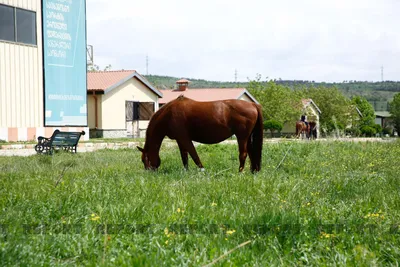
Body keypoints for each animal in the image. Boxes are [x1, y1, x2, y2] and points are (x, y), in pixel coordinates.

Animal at [136, 96, 264, 174]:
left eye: (144, 160)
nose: (149, 172)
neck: (168, 114)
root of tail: (253, 105)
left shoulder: (185, 138)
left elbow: (194, 155)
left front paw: (202, 170)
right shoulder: (180, 140)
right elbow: (184, 157)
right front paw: (186, 171)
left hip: (242, 137)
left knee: (243, 154)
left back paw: (240, 172)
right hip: (247, 137)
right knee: (252, 153)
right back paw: (253, 171)